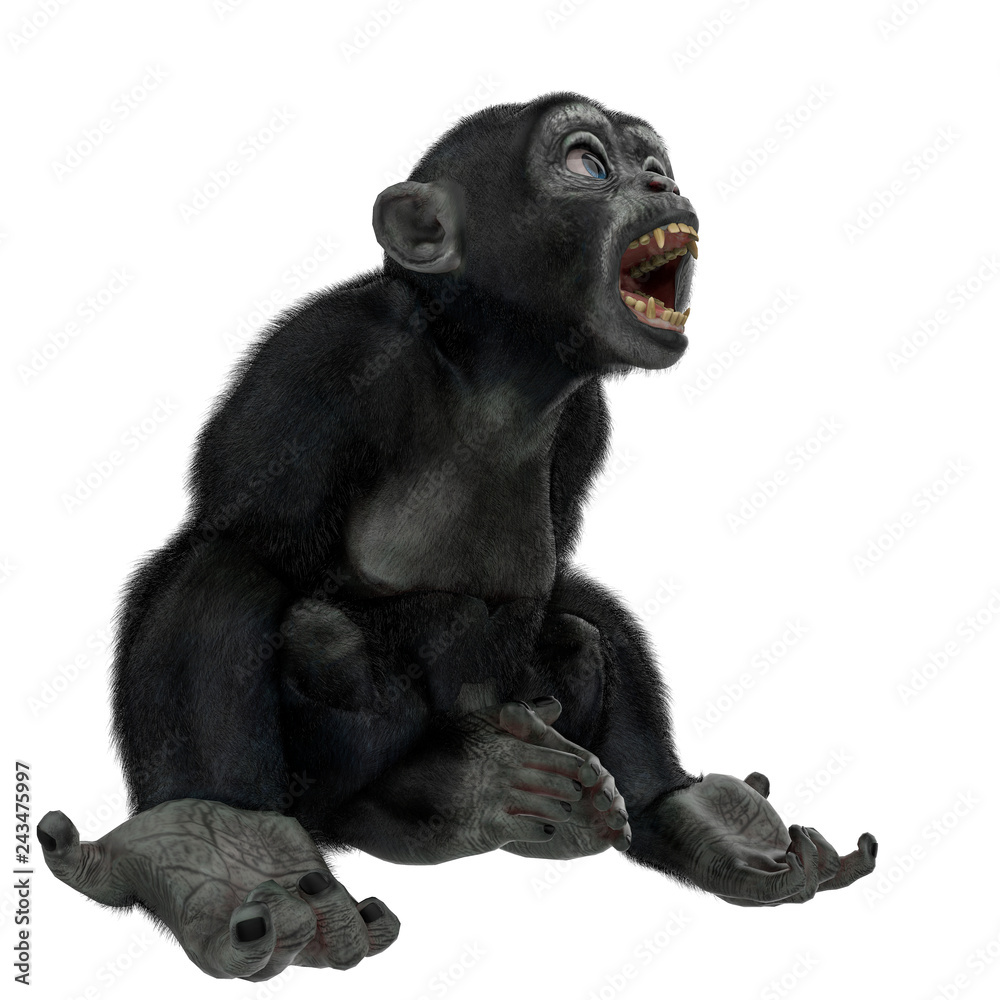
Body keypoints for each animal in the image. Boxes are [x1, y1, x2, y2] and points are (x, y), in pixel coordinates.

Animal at [38, 92, 877, 982]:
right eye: (589, 164)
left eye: (656, 164)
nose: (660, 183)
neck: (498, 364)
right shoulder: (318, 363)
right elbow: (235, 556)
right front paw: (231, 856)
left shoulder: (584, 426)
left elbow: (564, 587)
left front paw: (699, 819)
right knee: (319, 635)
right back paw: (454, 799)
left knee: (573, 637)